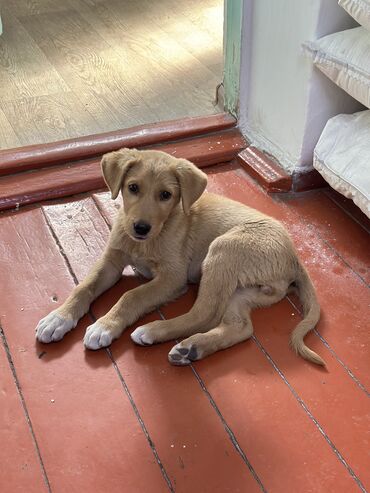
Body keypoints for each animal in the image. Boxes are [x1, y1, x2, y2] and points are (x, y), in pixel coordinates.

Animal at [35, 149, 324, 366]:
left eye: (166, 195)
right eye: (132, 188)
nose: (140, 227)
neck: (147, 241)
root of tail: (294, 257)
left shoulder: (172, 277)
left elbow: (132, 295)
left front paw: (105, 325)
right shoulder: (111, 262)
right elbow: (84, 286)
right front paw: (59, 318)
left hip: (223, 251)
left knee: (204, 313)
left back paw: (154, 331)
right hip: (247, 292)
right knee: (241, 327)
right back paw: (192, 348)